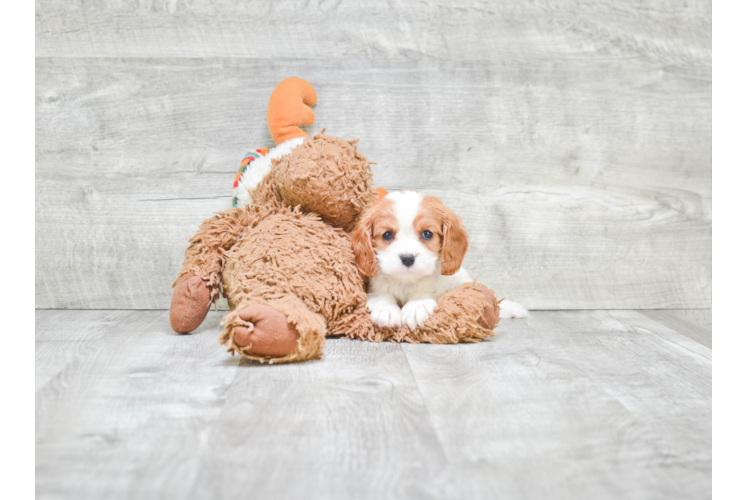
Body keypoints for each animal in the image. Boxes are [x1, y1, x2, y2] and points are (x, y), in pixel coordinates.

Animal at [350, 193, 524, 330]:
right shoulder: (374, 287)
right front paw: (386, 310)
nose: (407, 258)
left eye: (427, 234)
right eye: (387, 235)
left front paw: (416, 305)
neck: (406, 282)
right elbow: (382, 294)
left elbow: (427, 291)